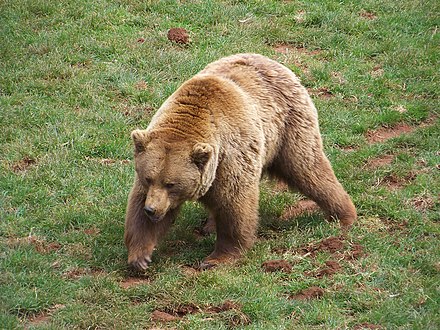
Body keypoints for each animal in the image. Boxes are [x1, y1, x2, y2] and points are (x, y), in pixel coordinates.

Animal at [124, 53, 358, 270]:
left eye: (171, 184)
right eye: (148, 178)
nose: (152, 209)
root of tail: (274, 61)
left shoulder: (231, 156)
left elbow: (234, 204)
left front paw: (217, 258)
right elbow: (138, 206)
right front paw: (140, 256)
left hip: (289, 127)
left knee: (308, 168)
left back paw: (344, 215)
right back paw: (209, 225)